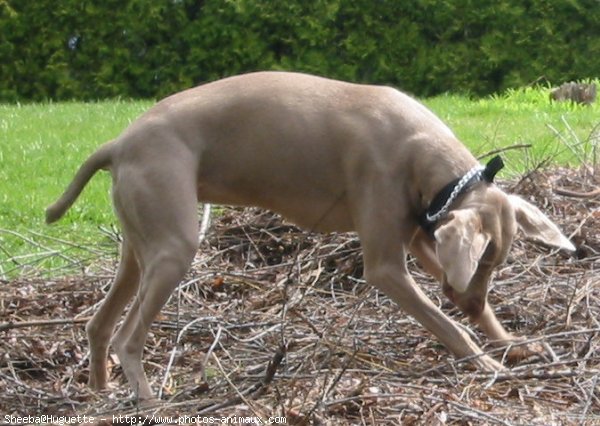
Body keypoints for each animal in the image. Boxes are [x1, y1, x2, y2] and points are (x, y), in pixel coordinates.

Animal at [44, 71, 576, 402]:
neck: (426, 154)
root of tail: (118, 142)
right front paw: (489, 365)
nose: (467, 299)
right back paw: (150, 400)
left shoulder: (420, 233)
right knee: (127, 337)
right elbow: (446, 325)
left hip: (140, 248)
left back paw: (101, 392)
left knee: (98, 324)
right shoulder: (385, 263)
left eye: (495, 263)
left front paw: (513, 345)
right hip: (174, 246)